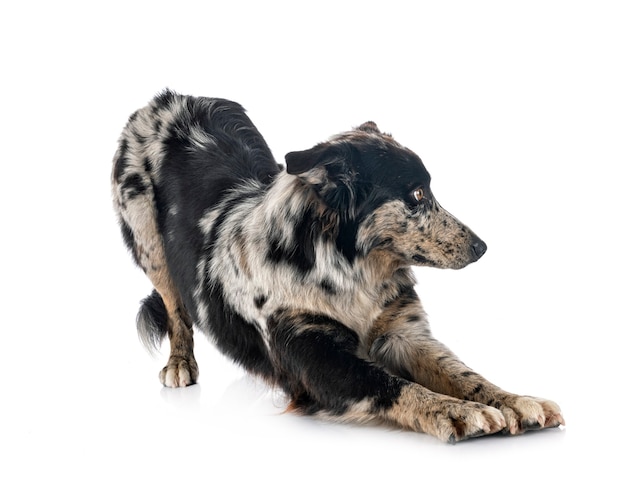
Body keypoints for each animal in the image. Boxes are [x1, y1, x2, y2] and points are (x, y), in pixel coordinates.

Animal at [109, 89, 564, 442]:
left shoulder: (403, 333)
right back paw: (179, 363)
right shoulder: (314, 354)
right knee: (175, 307)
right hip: (147, 242)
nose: (481, 247)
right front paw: (458, 411)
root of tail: (169, 97)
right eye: (418, 195)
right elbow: (391, 384)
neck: (344, 271)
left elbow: (464, 373)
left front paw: (517, 401)